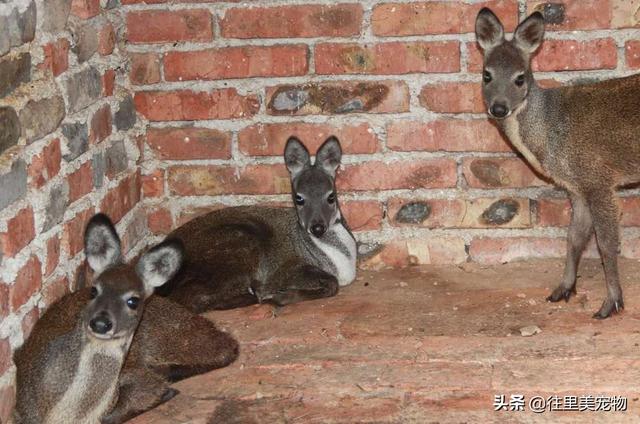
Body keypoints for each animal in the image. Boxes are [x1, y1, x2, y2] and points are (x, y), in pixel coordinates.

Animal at [155, 137, 356, 314]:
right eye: (299, 198)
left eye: (331, 196)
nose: (317, 228)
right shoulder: (285, 269)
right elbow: (332, 284)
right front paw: (277, 295)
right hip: (239, 243)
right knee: (191, 299)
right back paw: (255, 294)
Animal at [476, 8, 640, 318]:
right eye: (486, 74)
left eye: (520, 78)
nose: (499, 108)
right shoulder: (576, 186)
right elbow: (573, 237)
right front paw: (563, 288)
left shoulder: (598, 178)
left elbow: (606, 245)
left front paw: (611, 303)